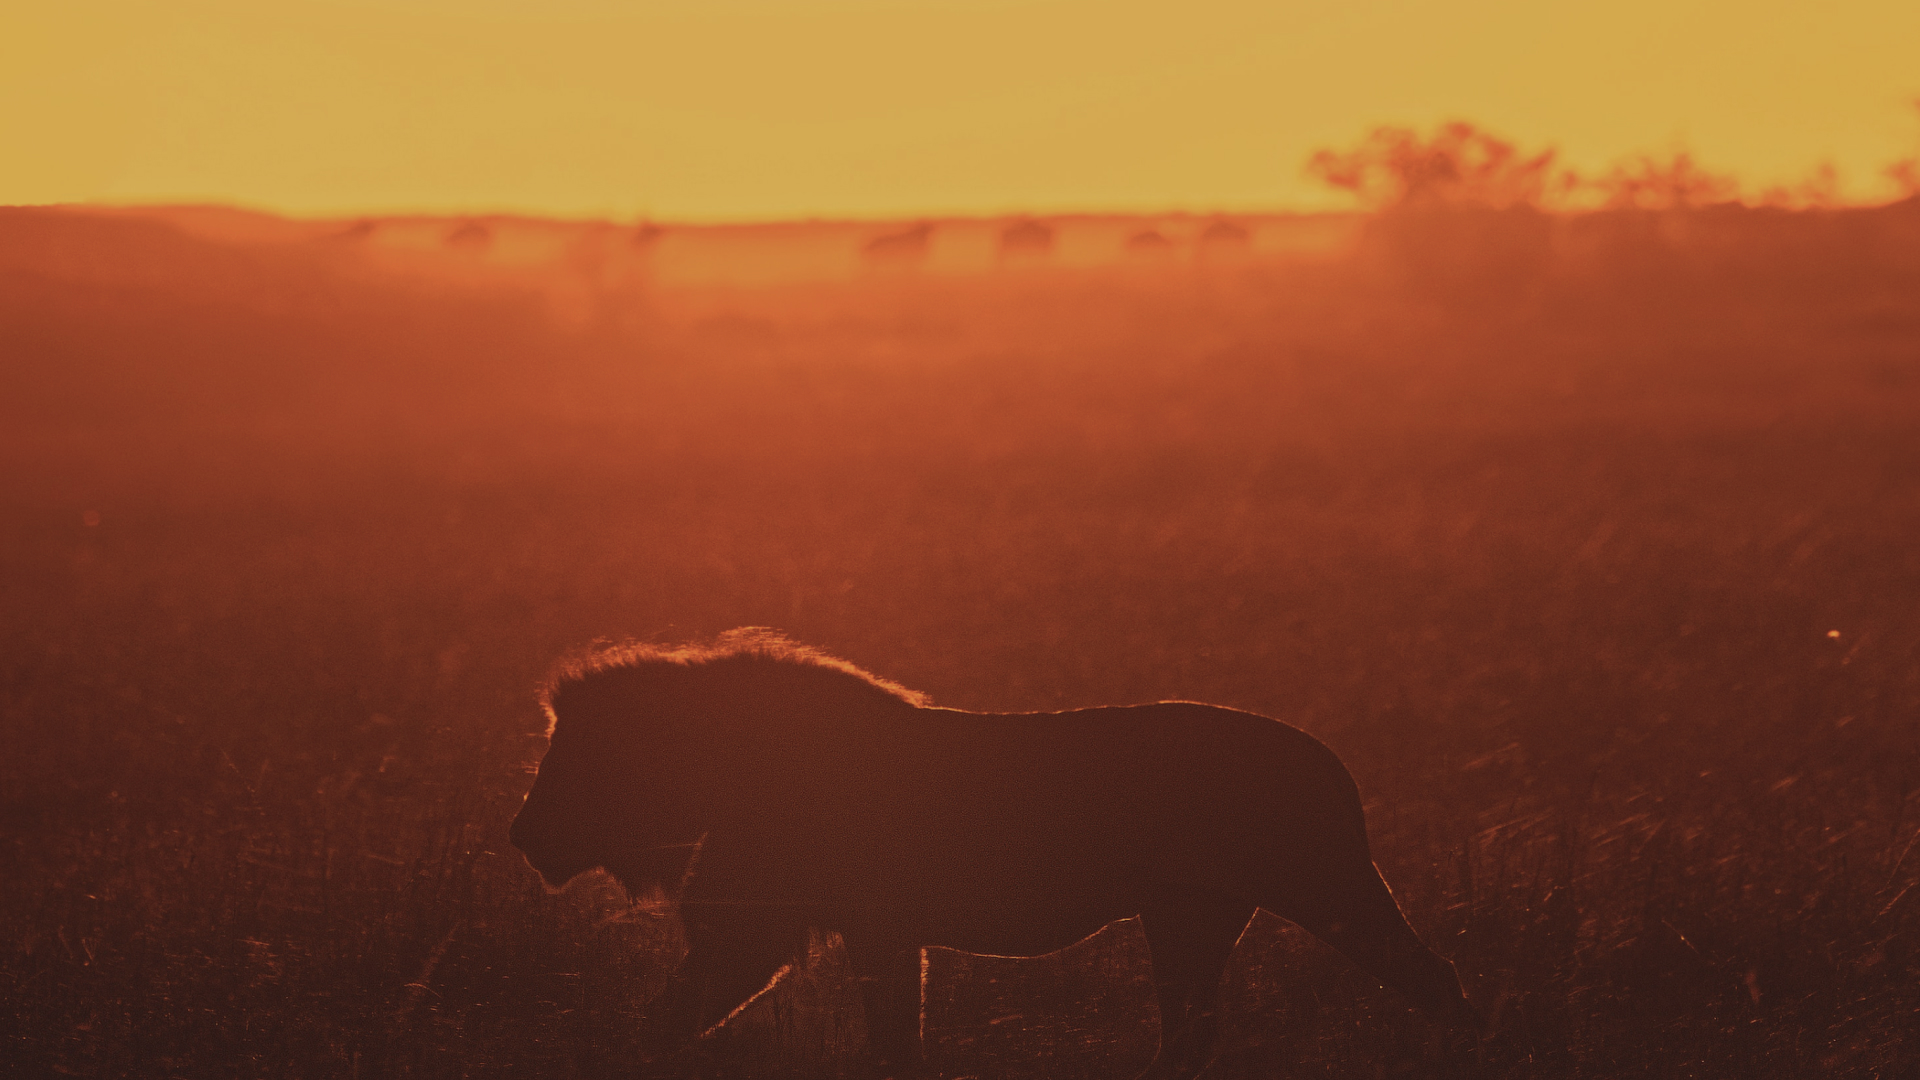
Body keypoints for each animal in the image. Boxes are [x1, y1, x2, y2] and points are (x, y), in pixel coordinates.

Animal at [510, 626, 1466, 1068]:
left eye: (574, 752)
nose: (521, 833)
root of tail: (1328, 758)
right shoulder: (844, 932)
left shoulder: (790, 932)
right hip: (1192, 918)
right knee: (1190, 1036)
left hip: (1328, 889)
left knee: (1436, 980)